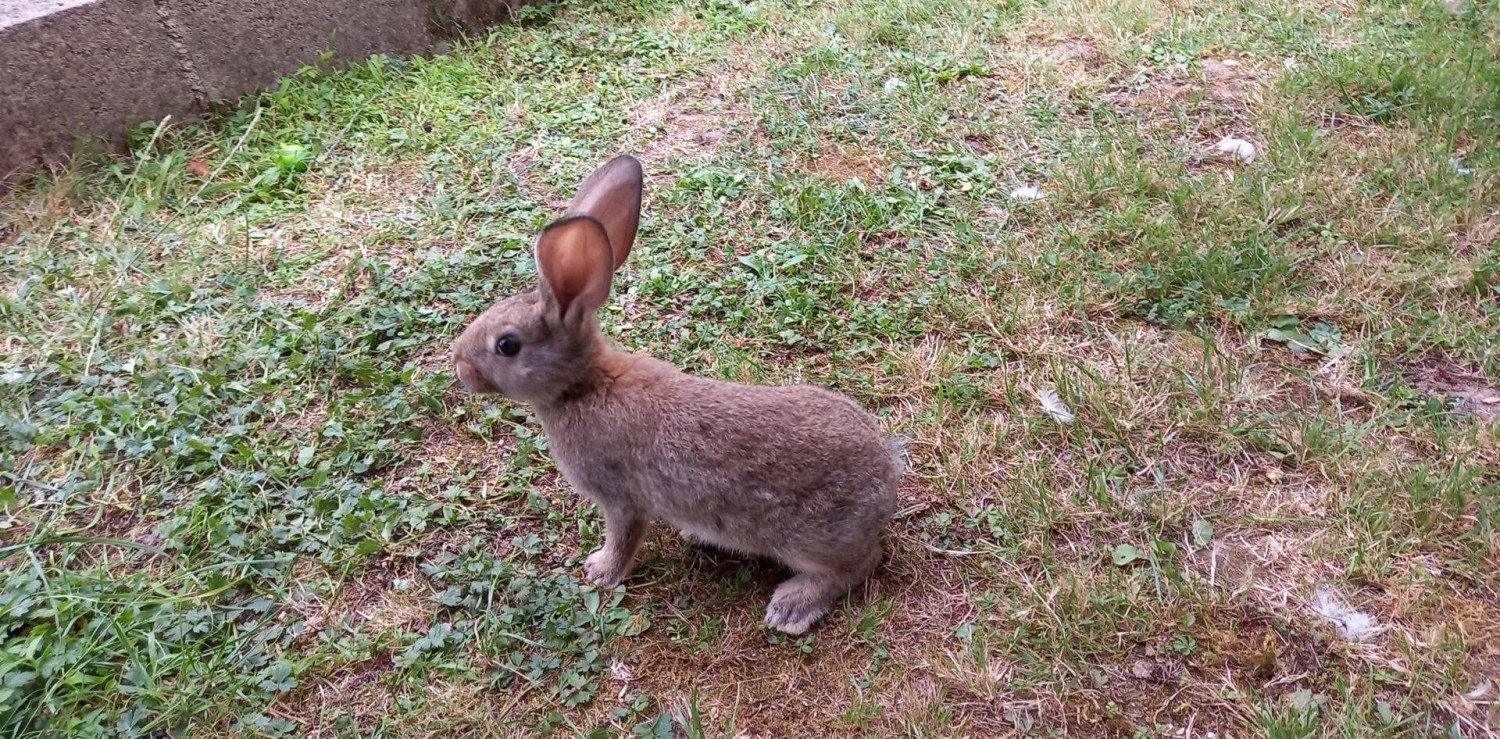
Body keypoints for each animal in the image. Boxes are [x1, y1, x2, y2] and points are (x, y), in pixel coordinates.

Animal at [450, 155, 900, 632]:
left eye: (507, 345)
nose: (460, 366)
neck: (583, 385)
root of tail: (887, 485)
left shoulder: (621, 498)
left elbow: (623, 537)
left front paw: (599, 571)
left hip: (807, 538)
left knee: (857, 565)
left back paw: (792, 606)